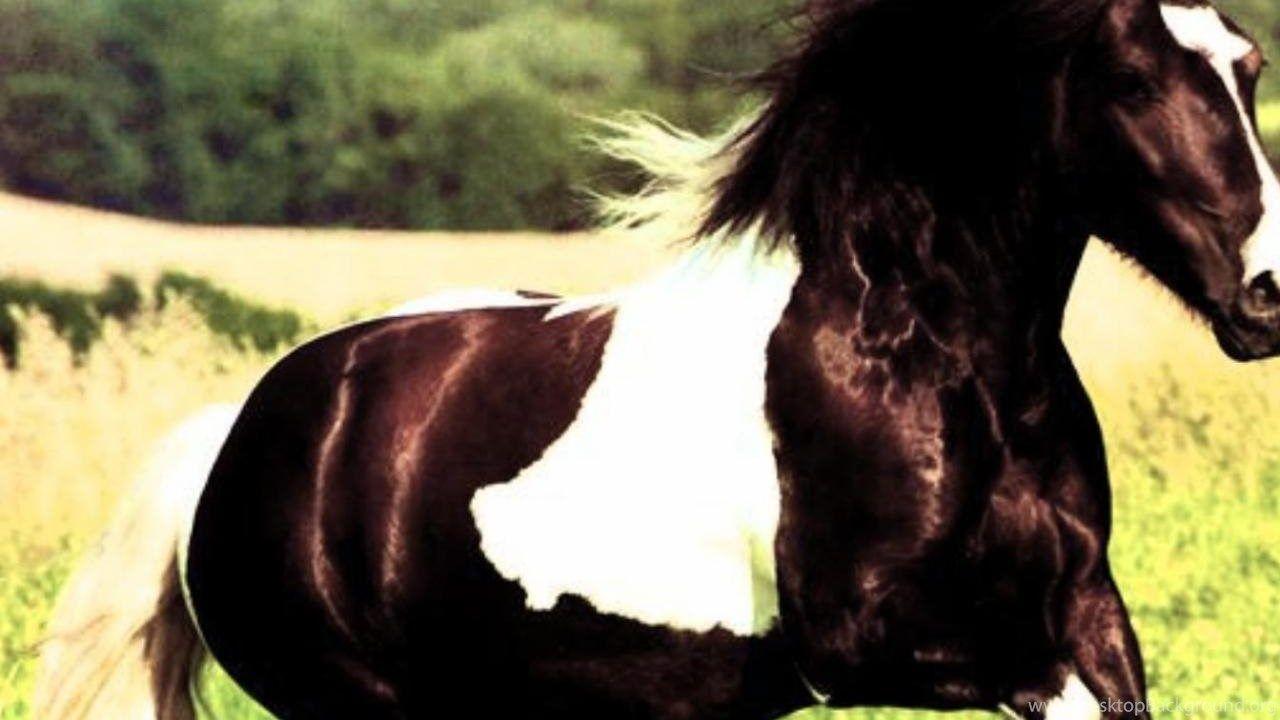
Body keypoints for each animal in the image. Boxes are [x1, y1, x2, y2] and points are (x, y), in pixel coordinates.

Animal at [34, 0, 1280, 718]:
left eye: (1248, 64)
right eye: (1131, 80)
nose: (1265, 291)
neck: (932, 361)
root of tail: (237, 433)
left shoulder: (1085, 608)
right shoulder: (871, 643)